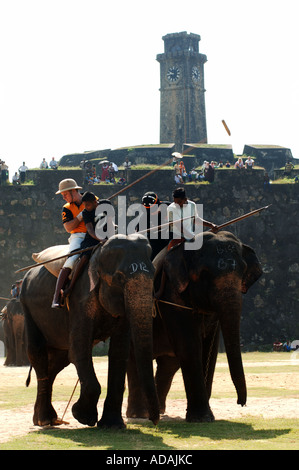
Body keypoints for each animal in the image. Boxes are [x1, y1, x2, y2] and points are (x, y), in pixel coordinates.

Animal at [20, 233, 162, 428]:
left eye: (154, 274)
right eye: (119, 277)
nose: (154, 421)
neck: (98, 254)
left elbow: (119, 351)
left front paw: (112, 425)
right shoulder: (80, 297)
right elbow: (79, 349)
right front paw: (83, 416)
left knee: (57, 361)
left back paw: (51, 419)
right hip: (27, 306)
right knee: (37, 353)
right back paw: (45, 420)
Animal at [126, 230, 262, 422]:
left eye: (242, 271)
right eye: (204, 273)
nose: (241, 403)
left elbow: (210, 351)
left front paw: (206, 417)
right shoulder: (172, 296)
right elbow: (190, 345)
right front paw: (202, 418)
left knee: (169, 364)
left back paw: (159, 410)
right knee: (135, 359)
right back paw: (139, 415)